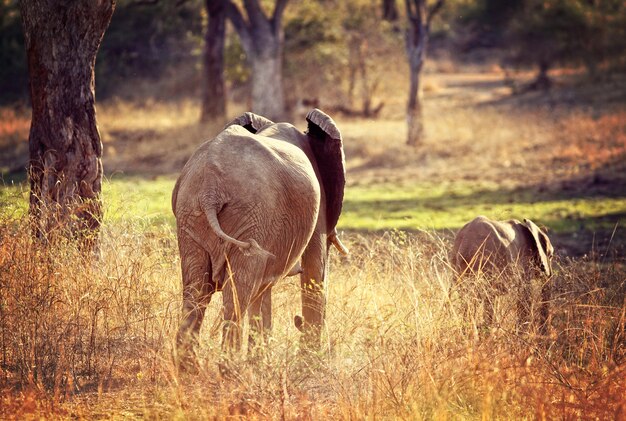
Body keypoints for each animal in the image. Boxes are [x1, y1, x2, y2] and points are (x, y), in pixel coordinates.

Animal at [171, 107, 346, 358]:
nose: (297, 320)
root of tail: (209, 191)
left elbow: (264, 289)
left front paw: (261, 360)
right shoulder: (317, 208)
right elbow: (314, 272)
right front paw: (310, 361)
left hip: (191, 213)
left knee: (196, 292)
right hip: (250, 214)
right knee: (237, 294)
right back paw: (230, 365)